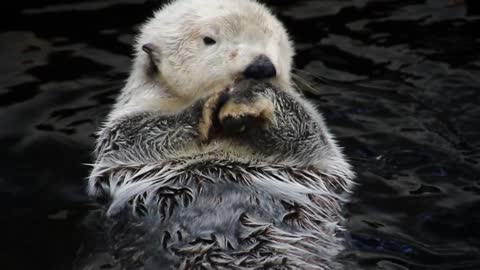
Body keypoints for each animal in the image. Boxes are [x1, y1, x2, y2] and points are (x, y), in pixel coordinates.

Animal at [88, 0, 354, 270]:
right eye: (209, 40)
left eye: (272, 38)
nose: (261, 66)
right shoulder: (124, 126)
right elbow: (132, 134)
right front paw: (203, 108)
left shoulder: (318, 147)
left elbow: (307, 133)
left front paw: (253, 95)